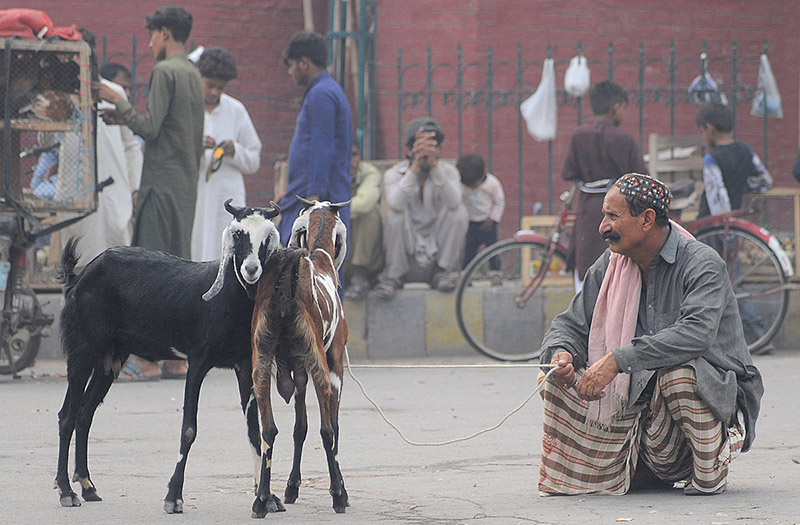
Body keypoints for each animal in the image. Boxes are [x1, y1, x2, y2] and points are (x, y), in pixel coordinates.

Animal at [56, 198, 282, 512]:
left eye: (267, 237)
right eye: (238, 234)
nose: (251, 269)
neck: (228, 299)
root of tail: (80, 276)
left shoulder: (244, 364)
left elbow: (253, 430)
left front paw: (267, 497)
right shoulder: (197, 361)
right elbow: (189, 429)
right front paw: (173, 496)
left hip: (110, 360)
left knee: (84, 414)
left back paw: (88, 486)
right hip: (83, 349)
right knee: (67, 415)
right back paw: (66, 491)